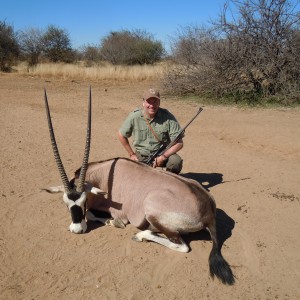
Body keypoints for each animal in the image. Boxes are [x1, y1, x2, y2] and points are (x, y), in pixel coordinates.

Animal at [42, 88, 234, 284]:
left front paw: (113, 222)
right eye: (65, 203)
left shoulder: (117, 211)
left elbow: (93, 214)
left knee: (181, 245)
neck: (105, 176)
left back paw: (141, 235)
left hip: (153, 210)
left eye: (83, 201)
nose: (77, 230)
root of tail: (208, 211)